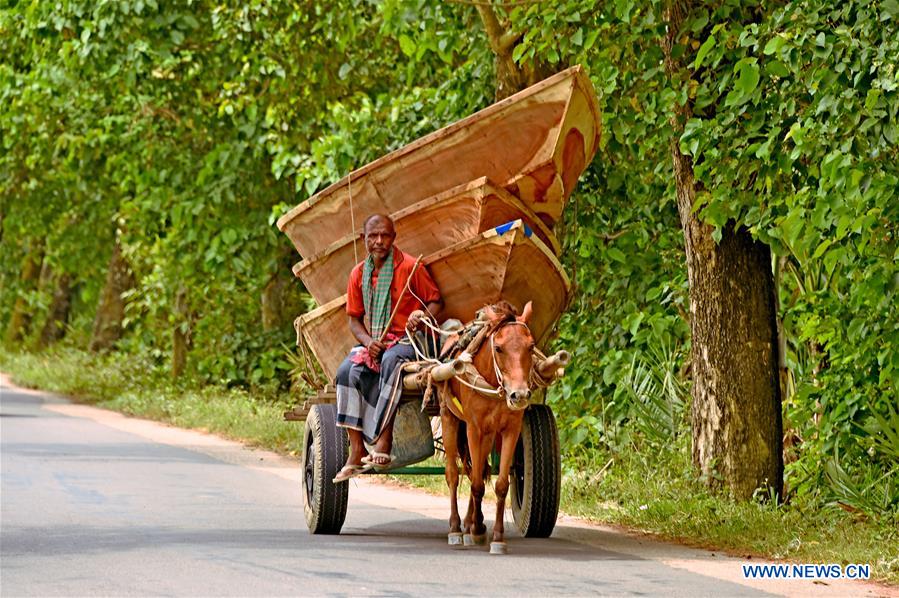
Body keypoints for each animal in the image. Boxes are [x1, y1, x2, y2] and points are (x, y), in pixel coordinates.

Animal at [440, 302, 536, 556]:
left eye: (531, 346)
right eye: (499, 348)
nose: (519, 395)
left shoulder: (510, 429)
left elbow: (500, 484)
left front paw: (497, 537)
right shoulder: (474, 429)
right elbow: (475, 484)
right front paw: (474, 530)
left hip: (489, 434)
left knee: (478, 468)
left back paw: (472, 523)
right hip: (449, 418)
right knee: (454, 474)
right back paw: (456, 528)